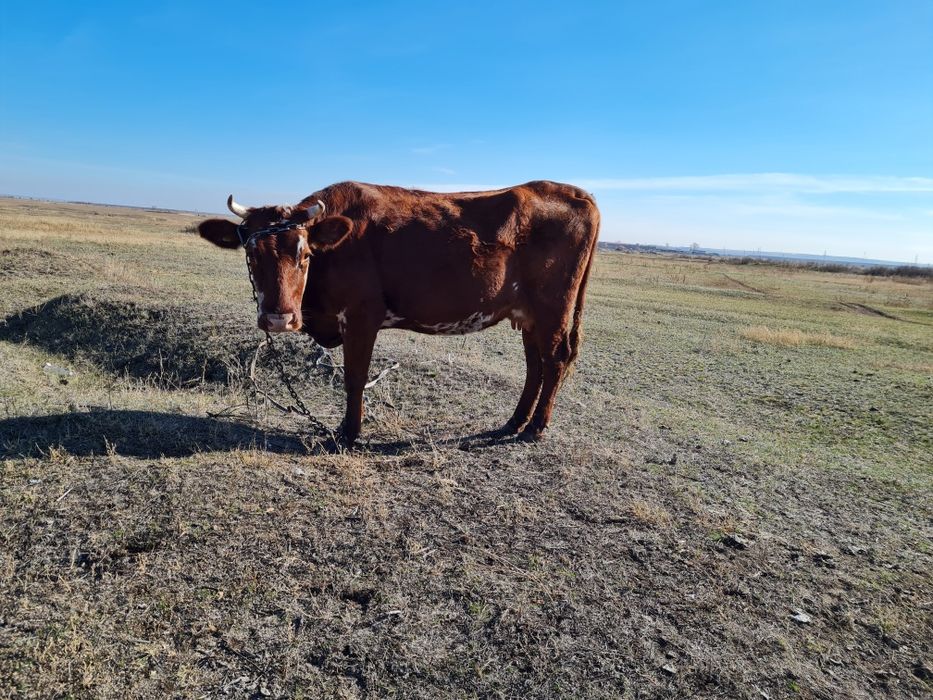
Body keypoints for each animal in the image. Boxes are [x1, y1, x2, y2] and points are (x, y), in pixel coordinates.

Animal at [197, 181, 600, 445]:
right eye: (252, 254)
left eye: (305, 254)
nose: (279, 318)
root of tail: (576, 192)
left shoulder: (361, 317)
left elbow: (354, 377)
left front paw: (349, 433)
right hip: (529, 315)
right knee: (536, 365)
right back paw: (515, 421)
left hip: (553, 310)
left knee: (555, 360)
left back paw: (535, 428)